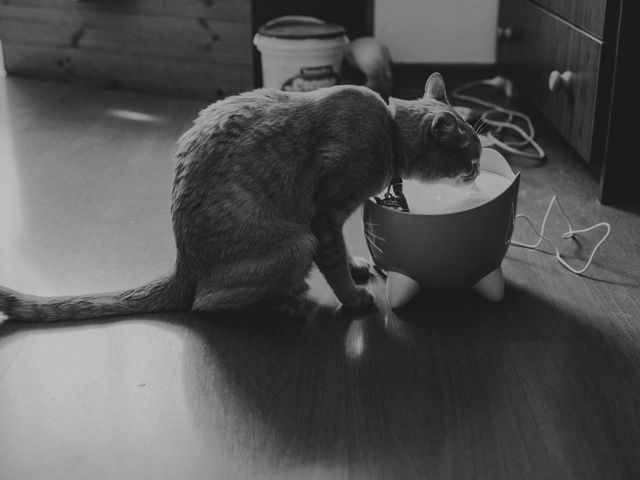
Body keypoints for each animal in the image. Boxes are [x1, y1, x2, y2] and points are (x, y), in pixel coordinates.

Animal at [0, 73, 480, 320]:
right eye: (472, 159)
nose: (477, 175)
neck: (388, 129)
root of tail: (182, 265)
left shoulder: (331, 221)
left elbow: (344, 254)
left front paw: (358, 265)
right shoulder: (323, 218)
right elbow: (335, 265)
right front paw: (354, 296)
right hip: (296, 242)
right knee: (207, 304)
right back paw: (286, 301)